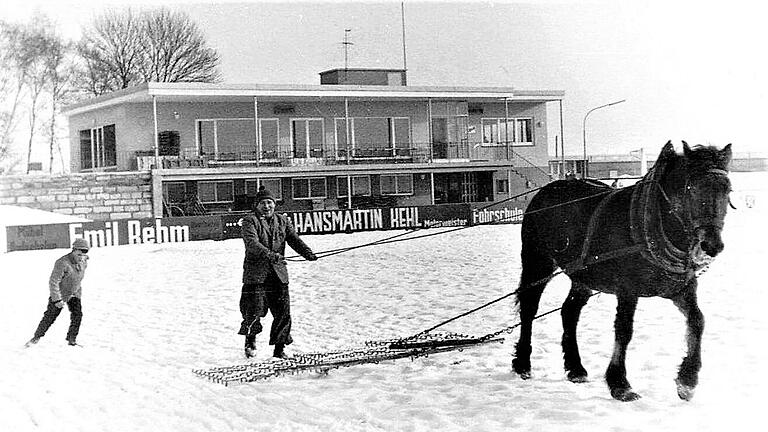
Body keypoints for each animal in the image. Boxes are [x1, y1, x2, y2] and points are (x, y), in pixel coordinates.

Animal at [512, 142, 736, 402]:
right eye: (691, 188)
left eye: (728, 190)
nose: (711, 245)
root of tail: (545, 190)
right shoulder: (627, 289)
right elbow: (624, 330)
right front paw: (620, 383)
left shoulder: (682, 289)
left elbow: (697, 321)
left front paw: (687, 381)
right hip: (537, 261)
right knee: (529, 306)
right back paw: (523, 363)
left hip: (583, 276)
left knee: (569, 311)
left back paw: (576, 368)